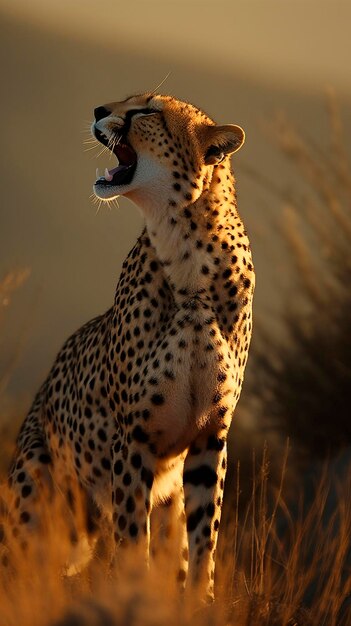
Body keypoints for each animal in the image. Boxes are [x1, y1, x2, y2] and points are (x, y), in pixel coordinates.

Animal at [7, 91, 256, 596]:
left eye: (149, 112)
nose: (99, 111)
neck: (190, 253)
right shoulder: (134, 436)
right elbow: (131, 537)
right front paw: (130, 593)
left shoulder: (209, 436)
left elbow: (204, 539)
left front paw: (201, 601)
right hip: (38, 483)